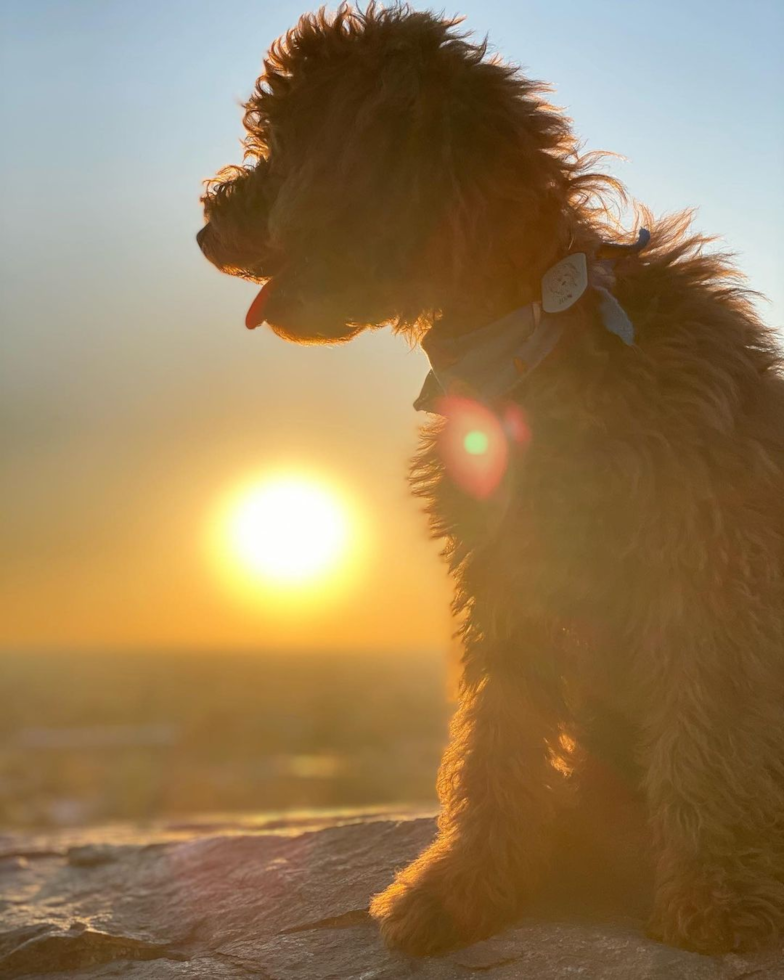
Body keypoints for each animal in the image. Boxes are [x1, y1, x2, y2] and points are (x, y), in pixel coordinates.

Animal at [198, 1, 784, 956]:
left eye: (282, 144)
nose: (205, 227)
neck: (535, 324)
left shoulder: (704, 570)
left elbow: (707, 735)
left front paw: (716, 887)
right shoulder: (508, 577)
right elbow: (496, 741)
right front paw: (466, 885)